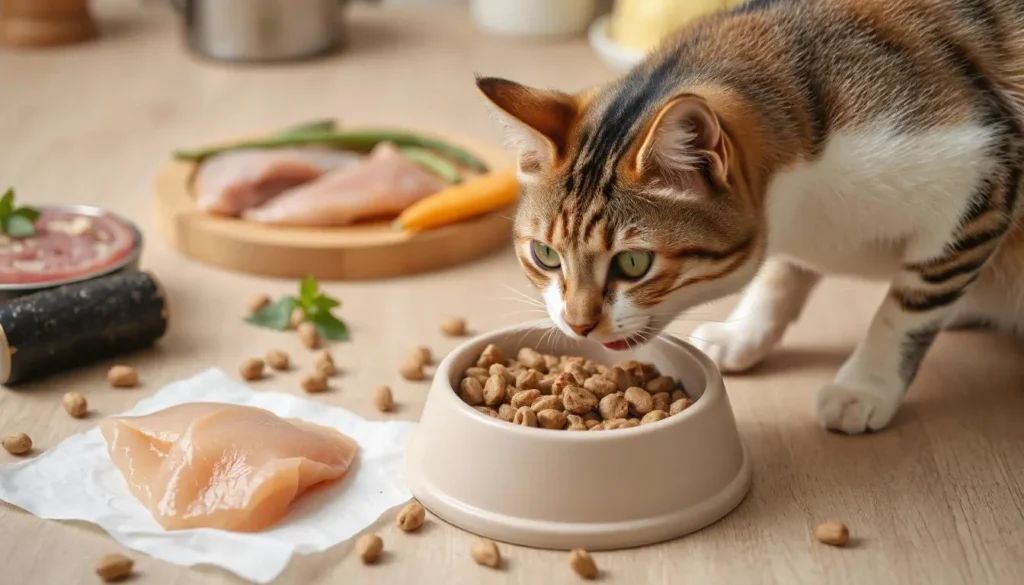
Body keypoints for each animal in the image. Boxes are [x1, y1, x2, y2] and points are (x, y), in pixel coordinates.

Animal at [475, 0, 1024, 434]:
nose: (578, 325)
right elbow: (779, 276)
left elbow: (904, 308)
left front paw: (864, 386)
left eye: (634, 263)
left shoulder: (979, 173)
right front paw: (745, 332)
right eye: (545, 255)